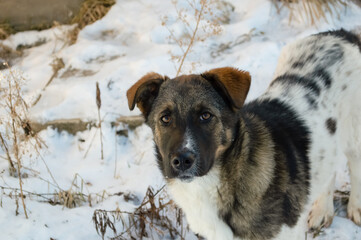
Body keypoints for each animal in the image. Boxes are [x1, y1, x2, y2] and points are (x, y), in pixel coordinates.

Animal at [126, 30, 360, 240]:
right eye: (165, 118)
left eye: (205, 115)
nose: (182, 160)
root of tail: (341, 34)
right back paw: (323, 211)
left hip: (354, 136)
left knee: (355, 167)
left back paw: (355, 208)